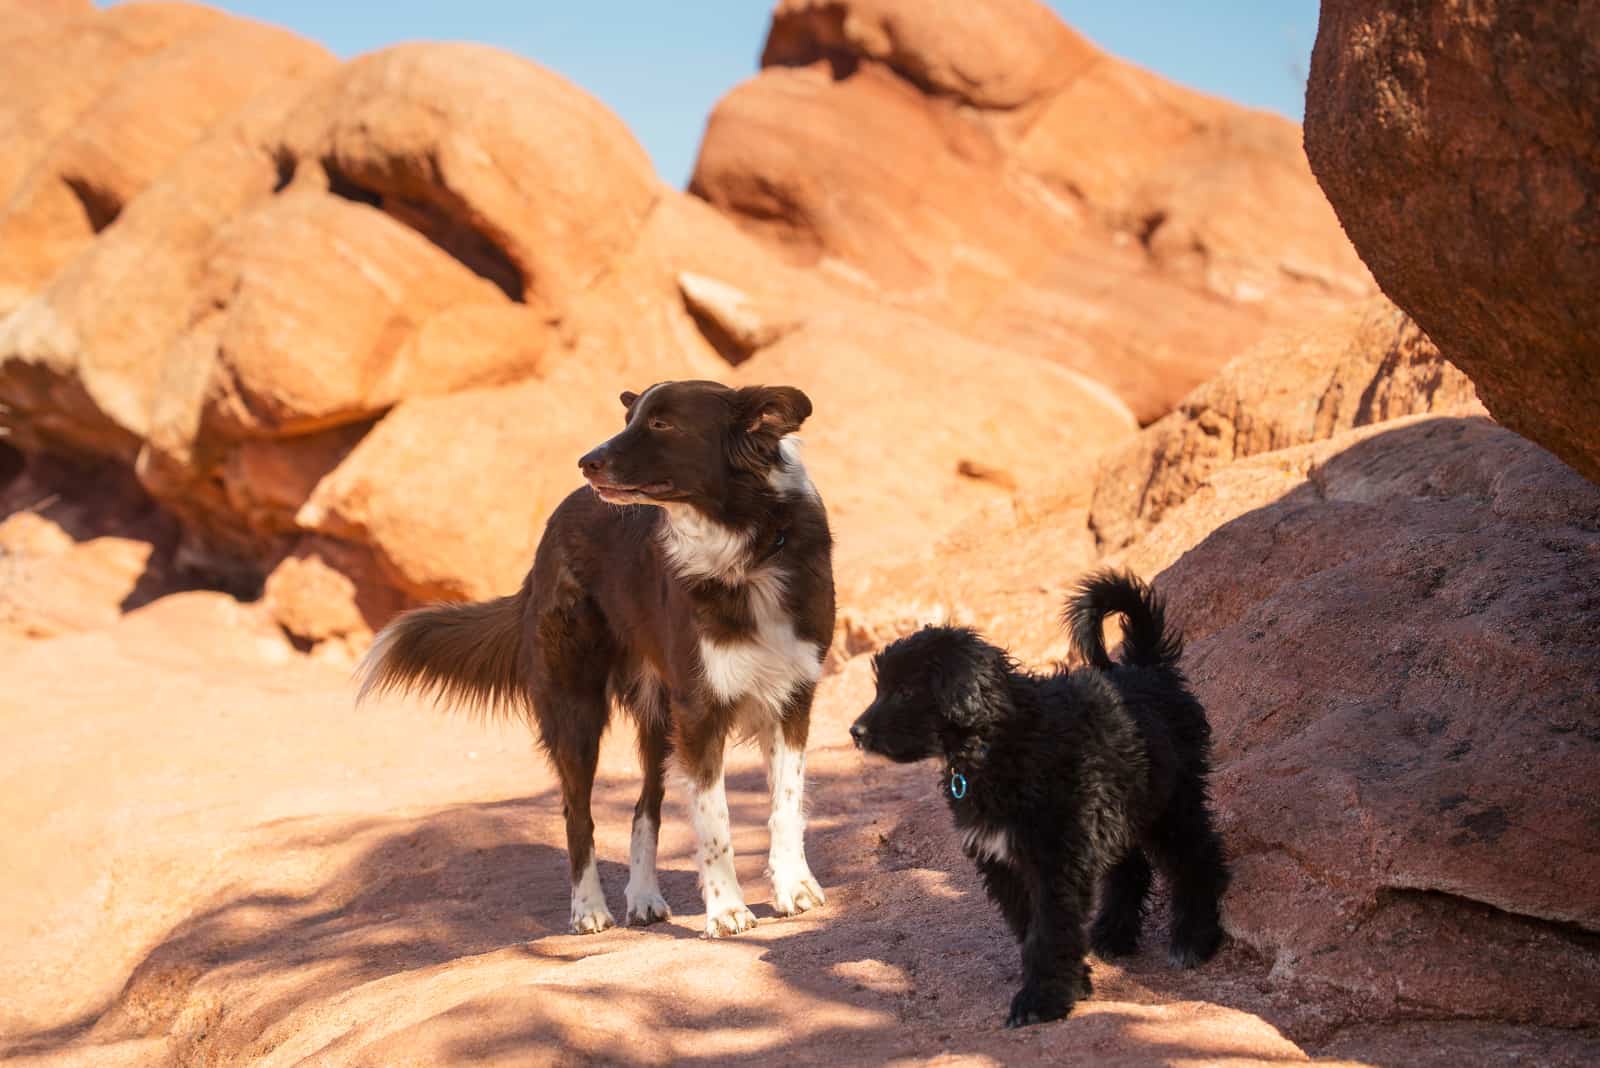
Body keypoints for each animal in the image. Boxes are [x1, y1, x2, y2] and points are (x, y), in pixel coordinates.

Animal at [360, 378, 838, 940]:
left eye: (661, 423)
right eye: (629, 419)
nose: (585, 462)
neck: (747, 550)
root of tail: (550, 533)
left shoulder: (791, 699)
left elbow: (786, 803)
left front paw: (794, 888)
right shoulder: (700, 711)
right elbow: (715, 820)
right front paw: (726, 911)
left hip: (660, 722)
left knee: (643, 809)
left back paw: (644, 897)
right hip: (577, 710)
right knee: (578, 816)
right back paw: (589, 909)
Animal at [844, 565, 1228, 1023]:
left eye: (905, 691)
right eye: (879, 687)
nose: (855, 732)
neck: (996, 742)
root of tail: (1146, 667)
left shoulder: (1055, 858)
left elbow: (1049, 931)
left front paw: (1041, 1002)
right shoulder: (1004, 860)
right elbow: (1032, 929)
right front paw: (1074, 984)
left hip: (1171, 801)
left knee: (1198, 857)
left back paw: (1194, 938)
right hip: (1124, 805)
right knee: (1131, 867)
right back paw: (1114, 933)